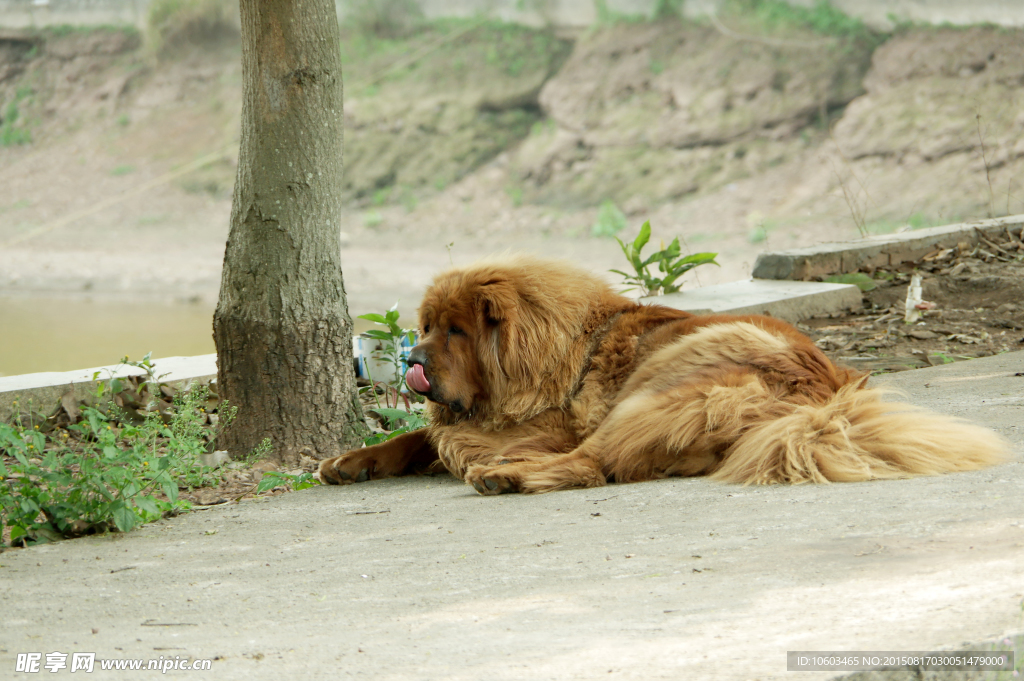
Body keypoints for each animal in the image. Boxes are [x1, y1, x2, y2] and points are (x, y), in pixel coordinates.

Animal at [319, 254, 1007, 493]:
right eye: (426, 326)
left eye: (456, 332)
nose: (412, 363)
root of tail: (821, 398)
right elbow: (411, 436)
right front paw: (350, 461)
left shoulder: (550, 424)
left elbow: (439, 435)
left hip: (661, 384)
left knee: (593, 464)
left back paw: (505, 475)